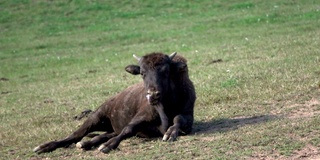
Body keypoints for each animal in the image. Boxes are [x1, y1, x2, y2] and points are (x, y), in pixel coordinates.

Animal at [33, 51, 196, 154]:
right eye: (142, 73)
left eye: (166, 72)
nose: (153, 94)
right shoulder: (141, 117)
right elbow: (128, 129)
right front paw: (107, 146)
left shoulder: (188, 115)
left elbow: (178, 119)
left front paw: (170, 134)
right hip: (96, 116)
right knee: (76, 135)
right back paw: (44, 147)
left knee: (102, 135)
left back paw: (86, 144)